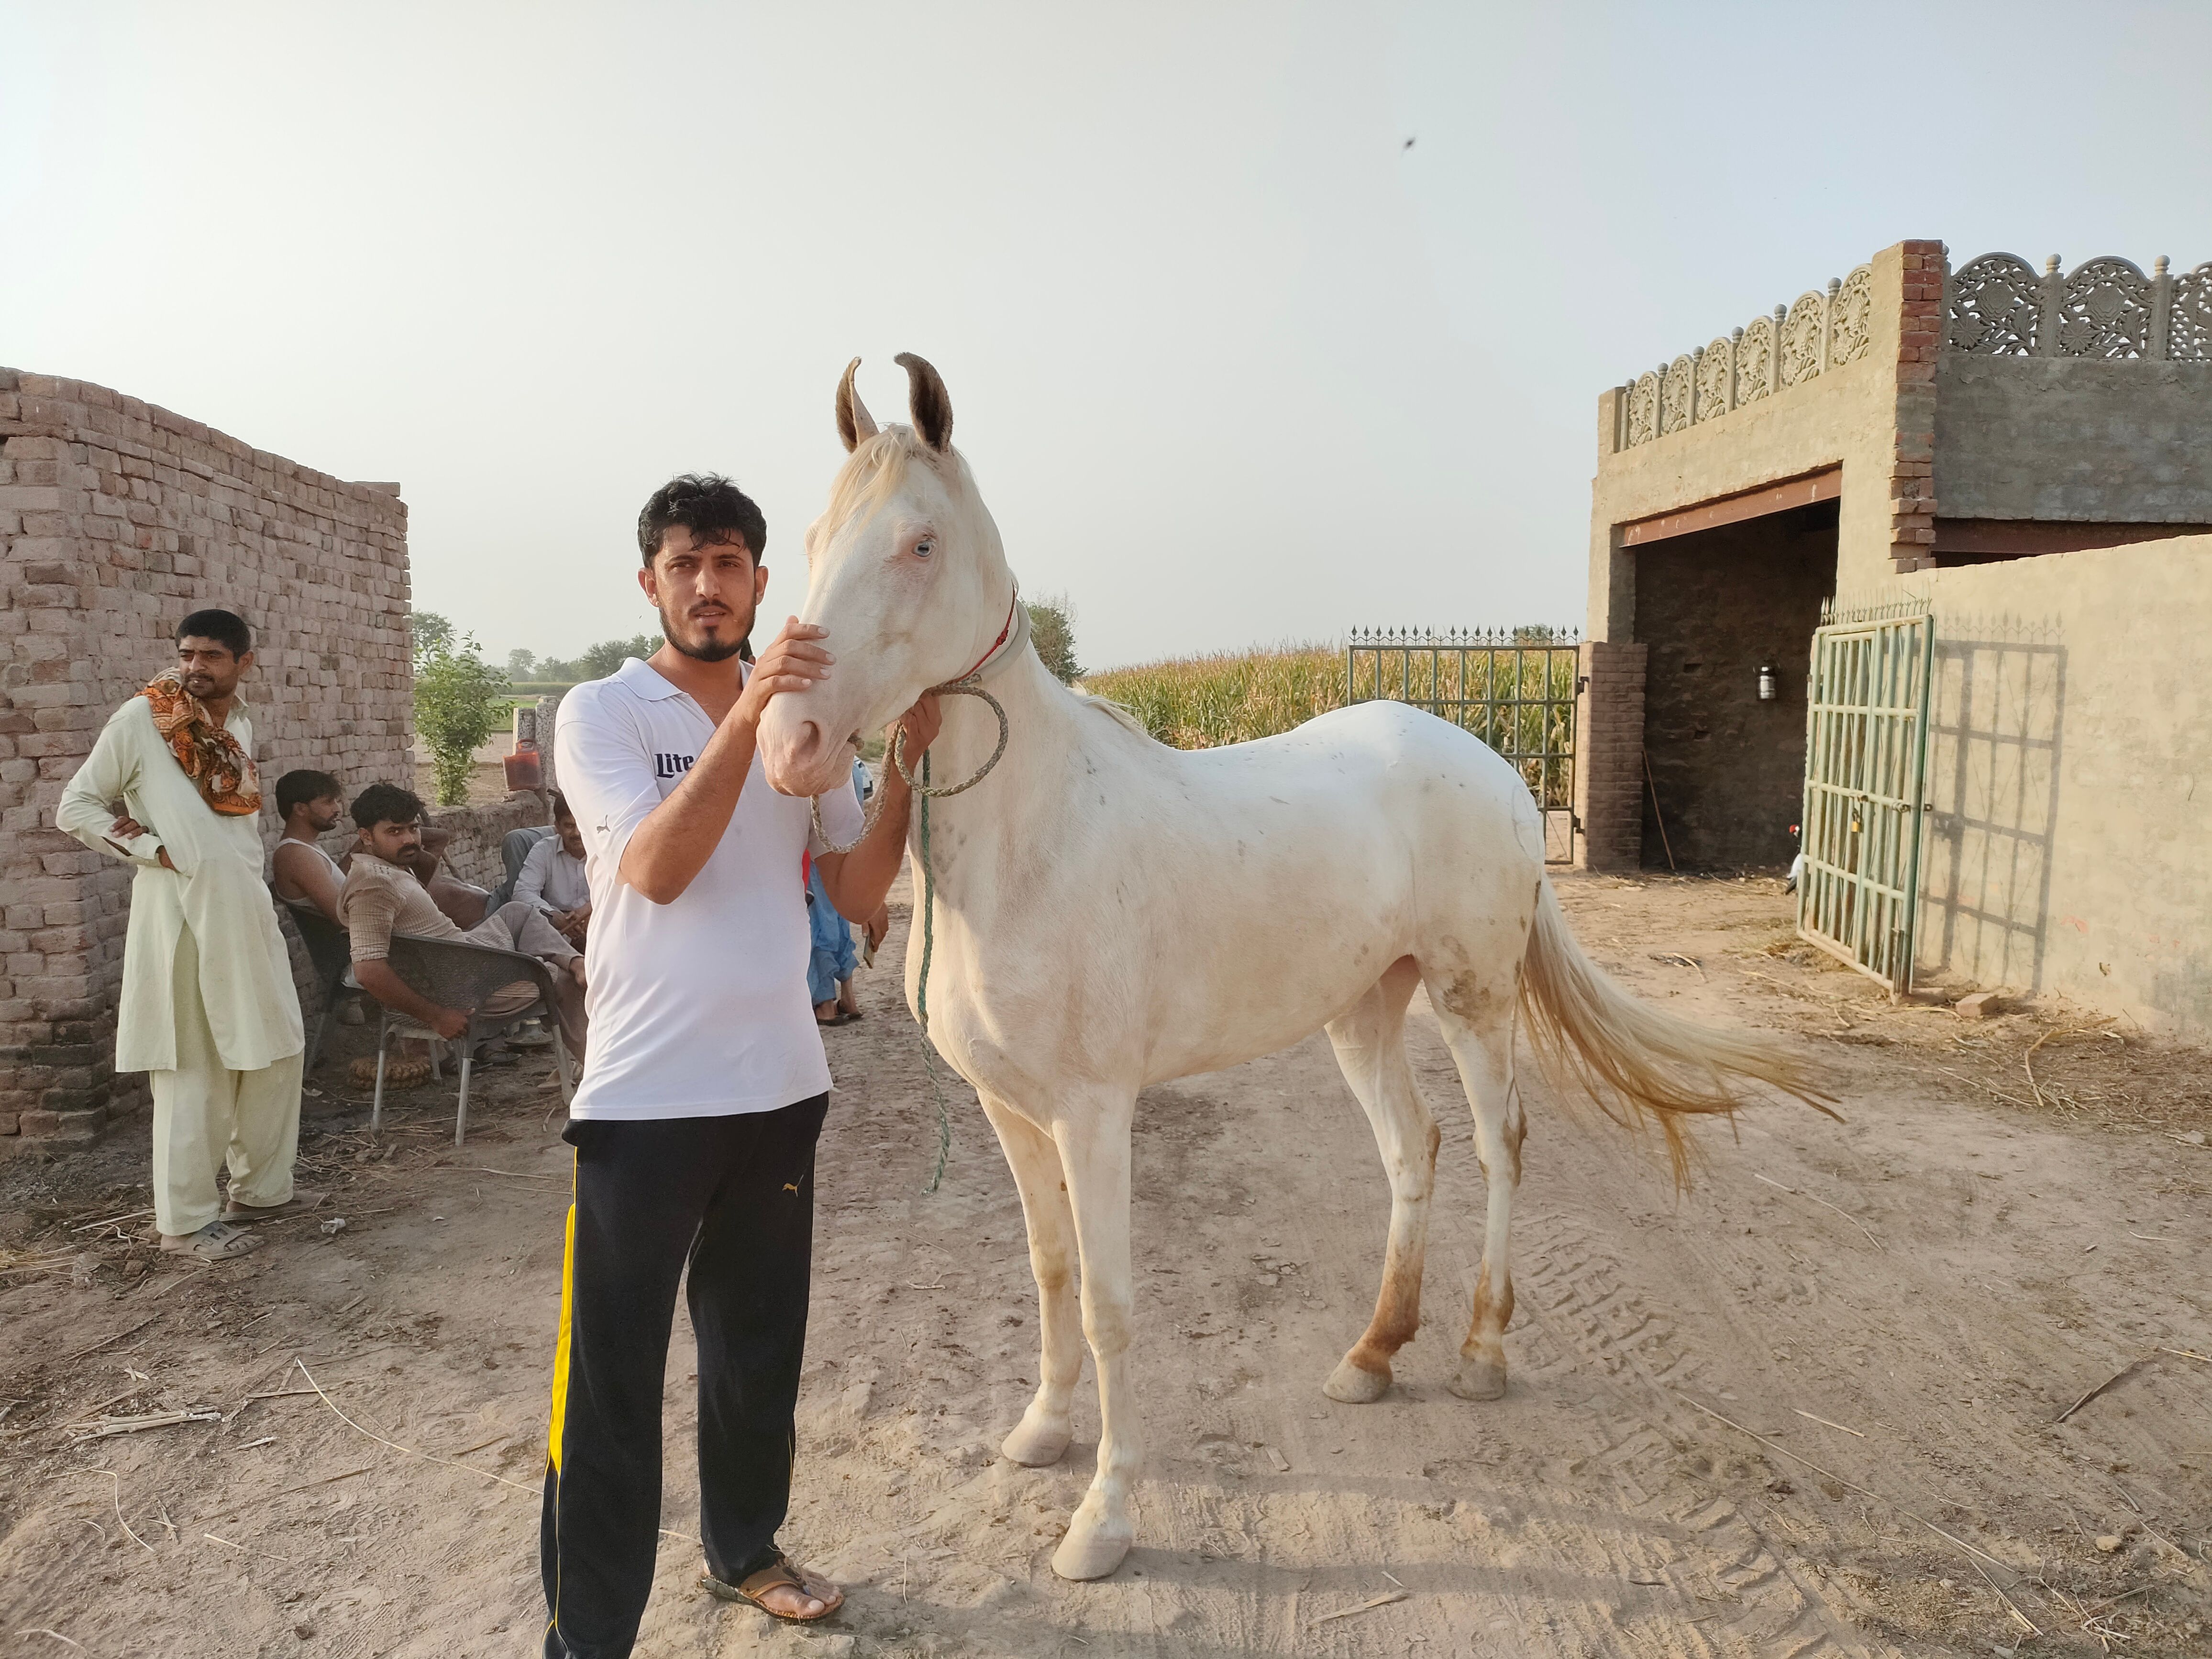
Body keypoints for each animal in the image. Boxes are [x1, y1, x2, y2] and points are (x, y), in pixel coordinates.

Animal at [757, 354, 1827, 1581]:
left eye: (920, 542)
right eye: (812, 535)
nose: (788, 743)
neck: (1036, 841)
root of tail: (1497, 768)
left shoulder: (1092, 1112)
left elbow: (1110, 1303)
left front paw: (1103, 1516)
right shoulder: (1008, 1109)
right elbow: (1050, 1270)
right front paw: (1038, 1433)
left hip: (1472, 999)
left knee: (1500, 1147)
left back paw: (1480, 1350)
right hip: (1361, 1011)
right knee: (1413, 1150)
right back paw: (1371, 1355)